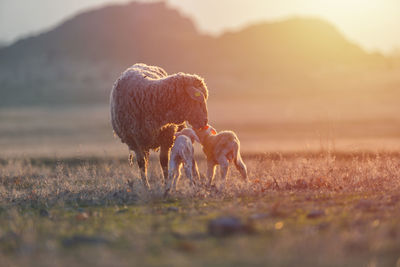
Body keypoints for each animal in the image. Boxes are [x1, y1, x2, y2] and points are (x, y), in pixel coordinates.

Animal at [109, 63, 209, 191]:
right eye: (199, 101)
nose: (205, 121)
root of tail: (141, 64)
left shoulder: (167, 137)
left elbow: (164, 162)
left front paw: (166, 185)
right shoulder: (135, 140)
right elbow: (142, 164)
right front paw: (146, 187)